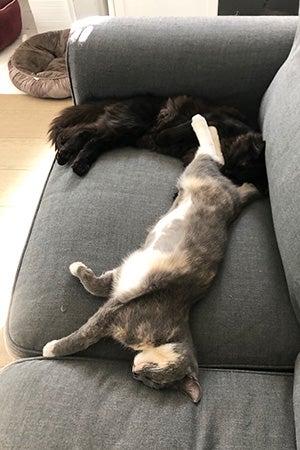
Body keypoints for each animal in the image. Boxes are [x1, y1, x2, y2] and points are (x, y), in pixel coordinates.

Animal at [43, 114, 258, 402]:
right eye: (156, 375)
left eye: (154, 383)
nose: (136, 374)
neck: (167, 335)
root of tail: (235, 201)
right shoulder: (114, 306)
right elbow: (82, 333)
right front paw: (51, 348)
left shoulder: (117, 296)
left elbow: (95, 294)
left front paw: (77, 270)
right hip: (196, 173)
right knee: (213, 156)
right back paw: (201, 121)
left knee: (215, 157)